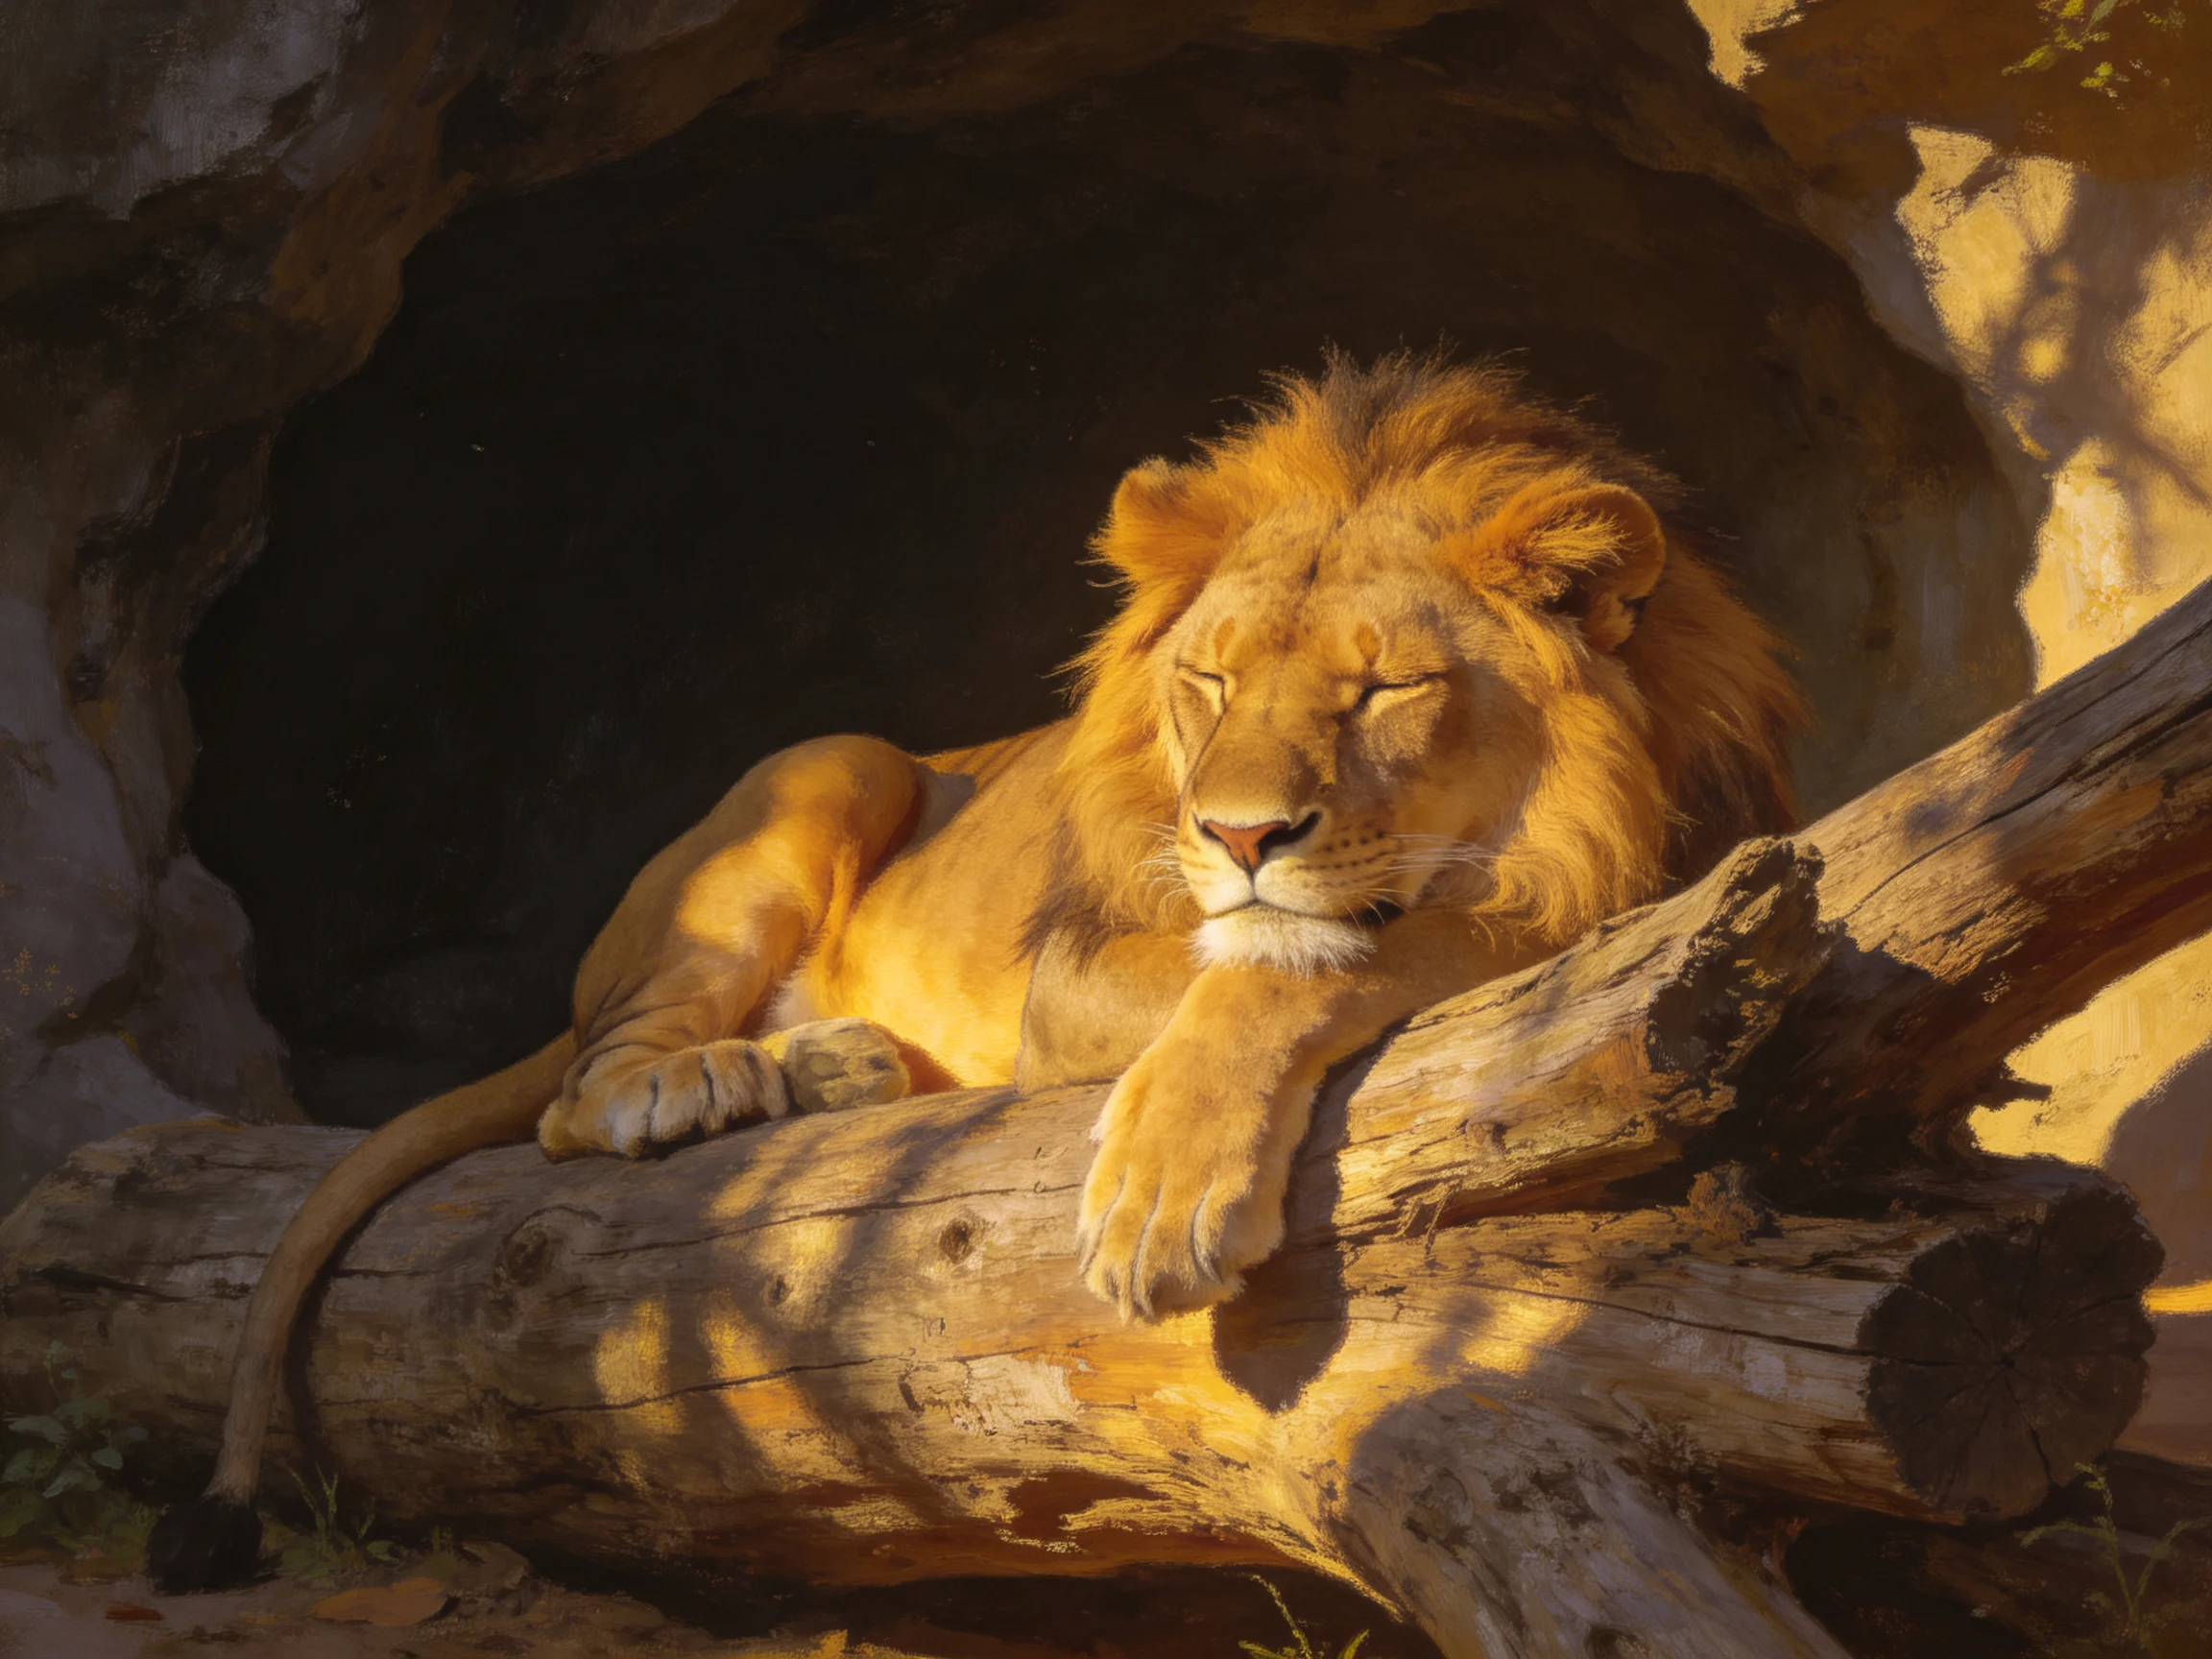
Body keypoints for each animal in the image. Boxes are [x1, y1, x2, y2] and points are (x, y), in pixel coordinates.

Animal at [148, 353, 1800, 1591]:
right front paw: (1164, 1203)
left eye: (1388, 686)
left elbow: (1367, 947)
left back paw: (840, 1067)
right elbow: (1327, 955)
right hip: (835, 762)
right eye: (1209, 681)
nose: (1238, 834)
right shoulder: (1071, 979)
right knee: (578, 1094)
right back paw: (710, 1082)